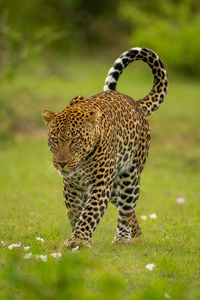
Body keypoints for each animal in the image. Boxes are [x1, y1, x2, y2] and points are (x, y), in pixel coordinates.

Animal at [42, 47, 169, 248]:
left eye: (75, 141)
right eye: (54, 140)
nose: (61, 163)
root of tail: (134, 102)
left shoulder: (101, 184)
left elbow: (90, 212)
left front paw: (78, 239)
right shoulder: (72, 186)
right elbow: (75, 213)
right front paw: (80, 238)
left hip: (129, 177)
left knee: (126, 208)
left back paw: (123, 237)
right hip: (114, 187)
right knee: (126, 207)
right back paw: (136, 231)